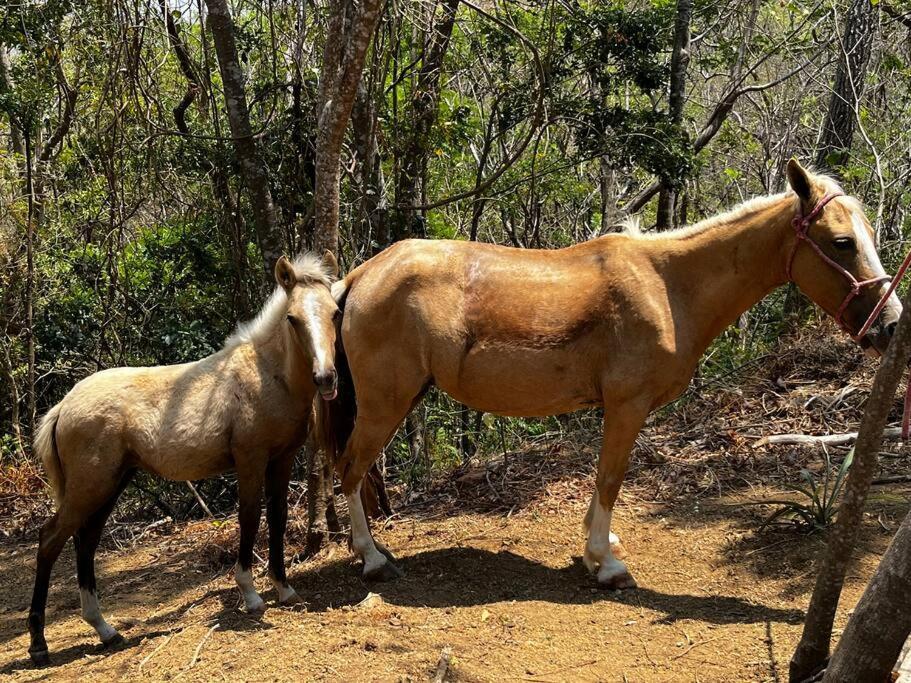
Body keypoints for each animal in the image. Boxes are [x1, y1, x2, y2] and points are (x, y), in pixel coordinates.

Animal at [30, 254, 342, 664]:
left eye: (335, 312)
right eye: (292, 318)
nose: (326, 378)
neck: (267, 375)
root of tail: (63, 406)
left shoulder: (282, 459)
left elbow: (277, 517)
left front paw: (284, 589)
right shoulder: (250, 459)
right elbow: (249, 518)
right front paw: (251, 595)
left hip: (111, 483)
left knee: (87, 540)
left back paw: (106, 630)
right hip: (90, 486)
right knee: (51, 539)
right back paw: (39, 644)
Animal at [320, 160, 904, 588]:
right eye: (843, 242)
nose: (892, 324)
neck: (668, 286)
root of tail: (359, 276)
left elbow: (604, 478)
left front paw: (597, 549)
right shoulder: (627, 405)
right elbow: (610, 478)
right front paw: (605, 563)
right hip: (385, 404)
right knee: (349, 469)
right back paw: (372, 558)